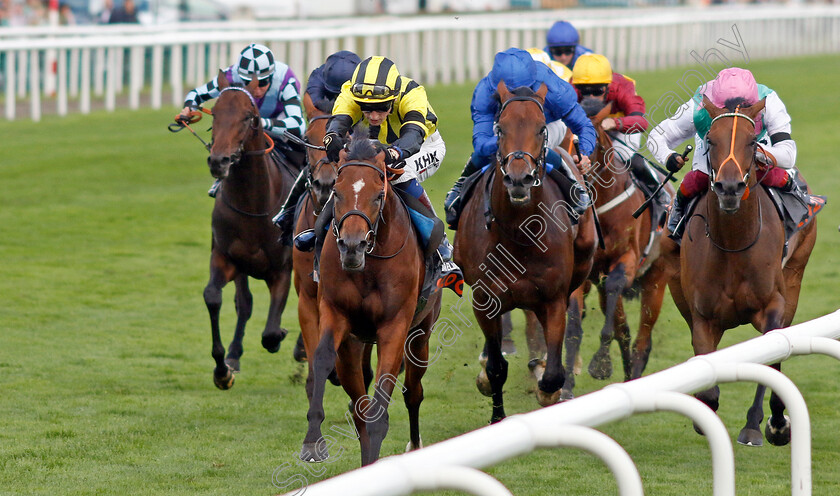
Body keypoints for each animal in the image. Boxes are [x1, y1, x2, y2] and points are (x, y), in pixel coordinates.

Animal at [203, 73, 298, 390]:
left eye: (248, 116)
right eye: (215, 113)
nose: (218, 160)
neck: (254, 204)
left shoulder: (282, 270)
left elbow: (270, 333)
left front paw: (281, 335)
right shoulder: (226, 258)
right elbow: (214, 297)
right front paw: (223, 369)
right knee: (244, 303)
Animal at [300, 131, 442, 464]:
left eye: (378, 195)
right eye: (336, 193)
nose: (352, 246)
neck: (370, 264)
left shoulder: (395, 326)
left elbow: (382, 403)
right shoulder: (335, 312)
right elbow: (322, 358)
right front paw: (313, 440)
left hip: (422, 331)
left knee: (413, 391)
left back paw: (414, 445)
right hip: (354, 345)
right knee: (359, 404)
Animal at [452, 82, 596, 422]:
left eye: (541, 128)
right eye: (500, 128)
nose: (519, 178)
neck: (520, 232)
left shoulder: (553, 298)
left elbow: (554, 372)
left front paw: (548, 385)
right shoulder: (485, 299)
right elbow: (495, 367)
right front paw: (496, 415)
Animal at [556, 103, 676, 392]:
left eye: (588, 143)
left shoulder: (627, 260)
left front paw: (600, 363)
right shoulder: (583, 274)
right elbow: (574, 328)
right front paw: (567, 387)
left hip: (656, 277)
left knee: (643, 338)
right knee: (624, 329)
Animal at [676, 96, 820, 446]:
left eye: (752, 142)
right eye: (711, 140)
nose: (729, 187)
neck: (733, 245)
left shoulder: (773, 306)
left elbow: (773, 360)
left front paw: (777, 423)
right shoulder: (702, 318)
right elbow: (709, 390)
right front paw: (702, 414)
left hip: (795, 276)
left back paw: (757, 423)